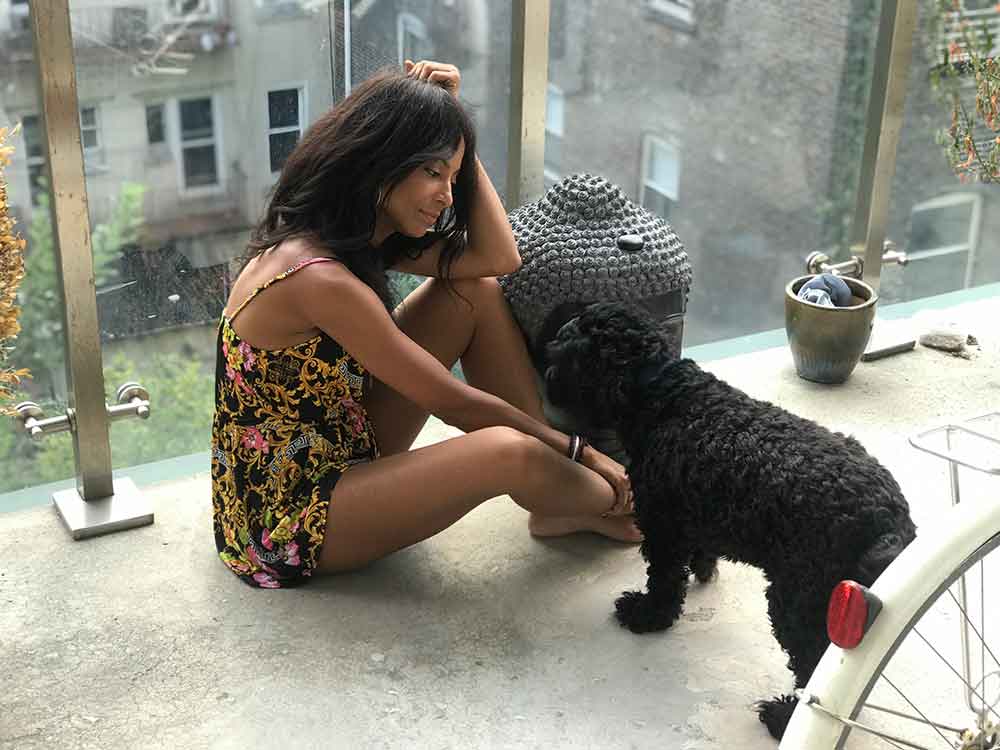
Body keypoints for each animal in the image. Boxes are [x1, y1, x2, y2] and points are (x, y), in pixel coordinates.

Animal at [544, 302, 916, 744]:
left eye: (561, 349)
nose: (545, 377)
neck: (662, 392)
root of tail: (888, 514)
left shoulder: (662, 525)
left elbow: (665, 580)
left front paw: (647, 614)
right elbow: (699, 552)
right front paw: (704, 569)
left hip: (799, 601)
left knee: (813, 666)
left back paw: (784, 719)